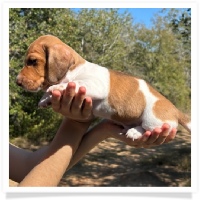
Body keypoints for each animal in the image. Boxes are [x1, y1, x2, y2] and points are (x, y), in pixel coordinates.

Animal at [15, 34, 191, 141]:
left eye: (32, 61)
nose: (17, 82)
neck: (74, 69)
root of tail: (176, 110)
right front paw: (45, 99)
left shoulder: (95, 85)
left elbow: (75, 83)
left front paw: (56, 88)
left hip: (152, 119)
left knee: (146, 128)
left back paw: (135, 132)